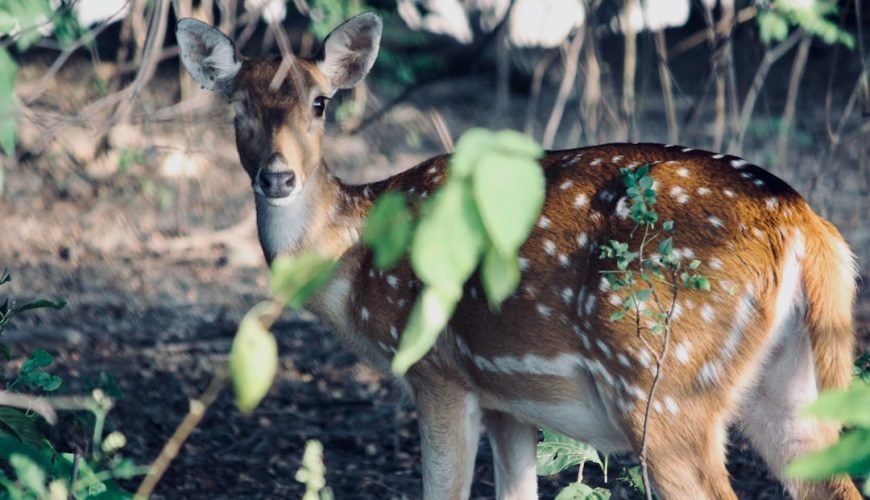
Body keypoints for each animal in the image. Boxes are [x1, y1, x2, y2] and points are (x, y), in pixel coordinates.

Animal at [179, 11, 864, 500]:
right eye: (238, 108)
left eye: (321, 102)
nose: (278, 176)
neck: (355, 265)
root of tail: (805, 224)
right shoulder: (508, 397)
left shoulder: (438, 369)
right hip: (788, 386)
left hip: (665, 383)